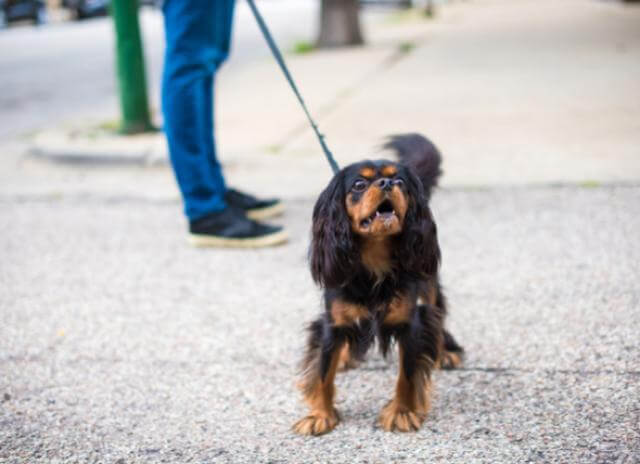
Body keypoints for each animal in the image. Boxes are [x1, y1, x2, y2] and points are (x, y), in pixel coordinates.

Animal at [292, 133, 462, 436]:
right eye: (360, 184)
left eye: (400, 181)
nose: (386, 183)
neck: (374, 260)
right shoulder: (332, 322)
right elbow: (323, 370)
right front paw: (319, 415)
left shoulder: (410, 322)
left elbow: (407, 374)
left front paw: (402, 412)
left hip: (428, 285)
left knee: (437, 314)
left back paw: (444, 352)